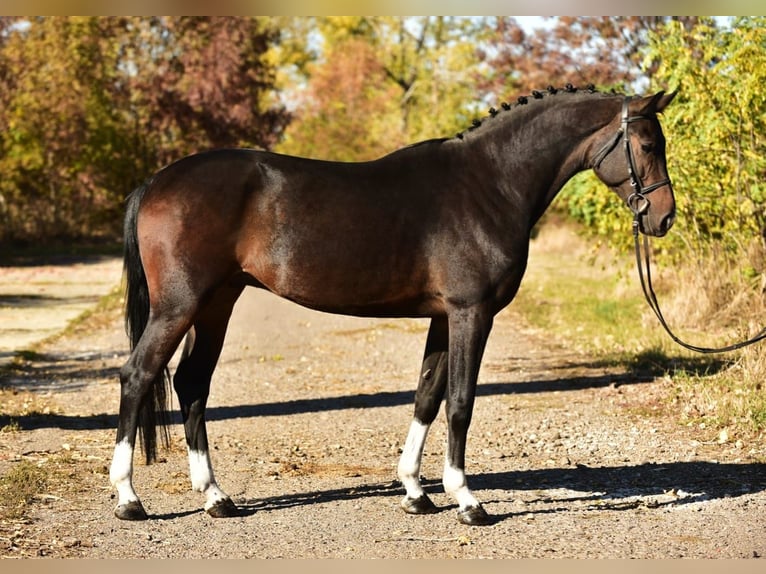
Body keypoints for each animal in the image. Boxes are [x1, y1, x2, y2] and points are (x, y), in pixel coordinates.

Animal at [109, 84, 677, 525]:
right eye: (648, 143)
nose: (664, 217)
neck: (490, 183)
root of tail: (157, 182)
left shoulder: (444, 317)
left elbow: (427, 395)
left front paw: (416, 492)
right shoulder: (471, 313)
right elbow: (460, 402)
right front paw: (466, 500)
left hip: (216, 305)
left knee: (192, 384)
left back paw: (215, 498)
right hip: (180, 306)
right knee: (138, 376)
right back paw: (129, 499)